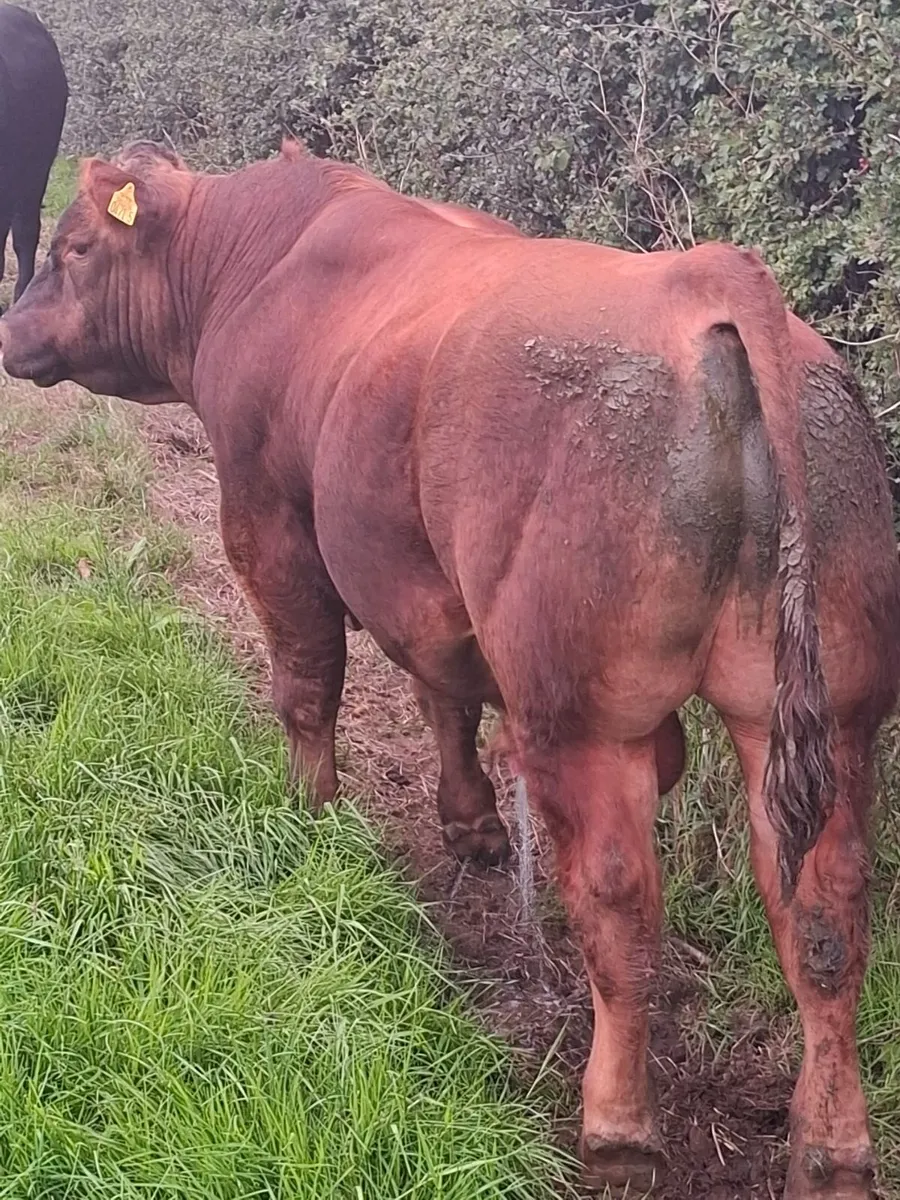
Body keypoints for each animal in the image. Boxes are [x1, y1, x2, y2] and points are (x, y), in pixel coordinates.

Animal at [2, 139, 898, 1200]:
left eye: (77, 247)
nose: (9, 329)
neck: (255, 260)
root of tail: (707, 277)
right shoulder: (416, 575)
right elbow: (442, 694)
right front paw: (469, 824)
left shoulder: (267, 515)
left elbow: (308, 681)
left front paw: (309, 815)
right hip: (829, 715)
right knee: (826, 920)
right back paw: (832, 1151)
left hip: (583, 719)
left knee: (619, 908)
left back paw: (619, 1131)